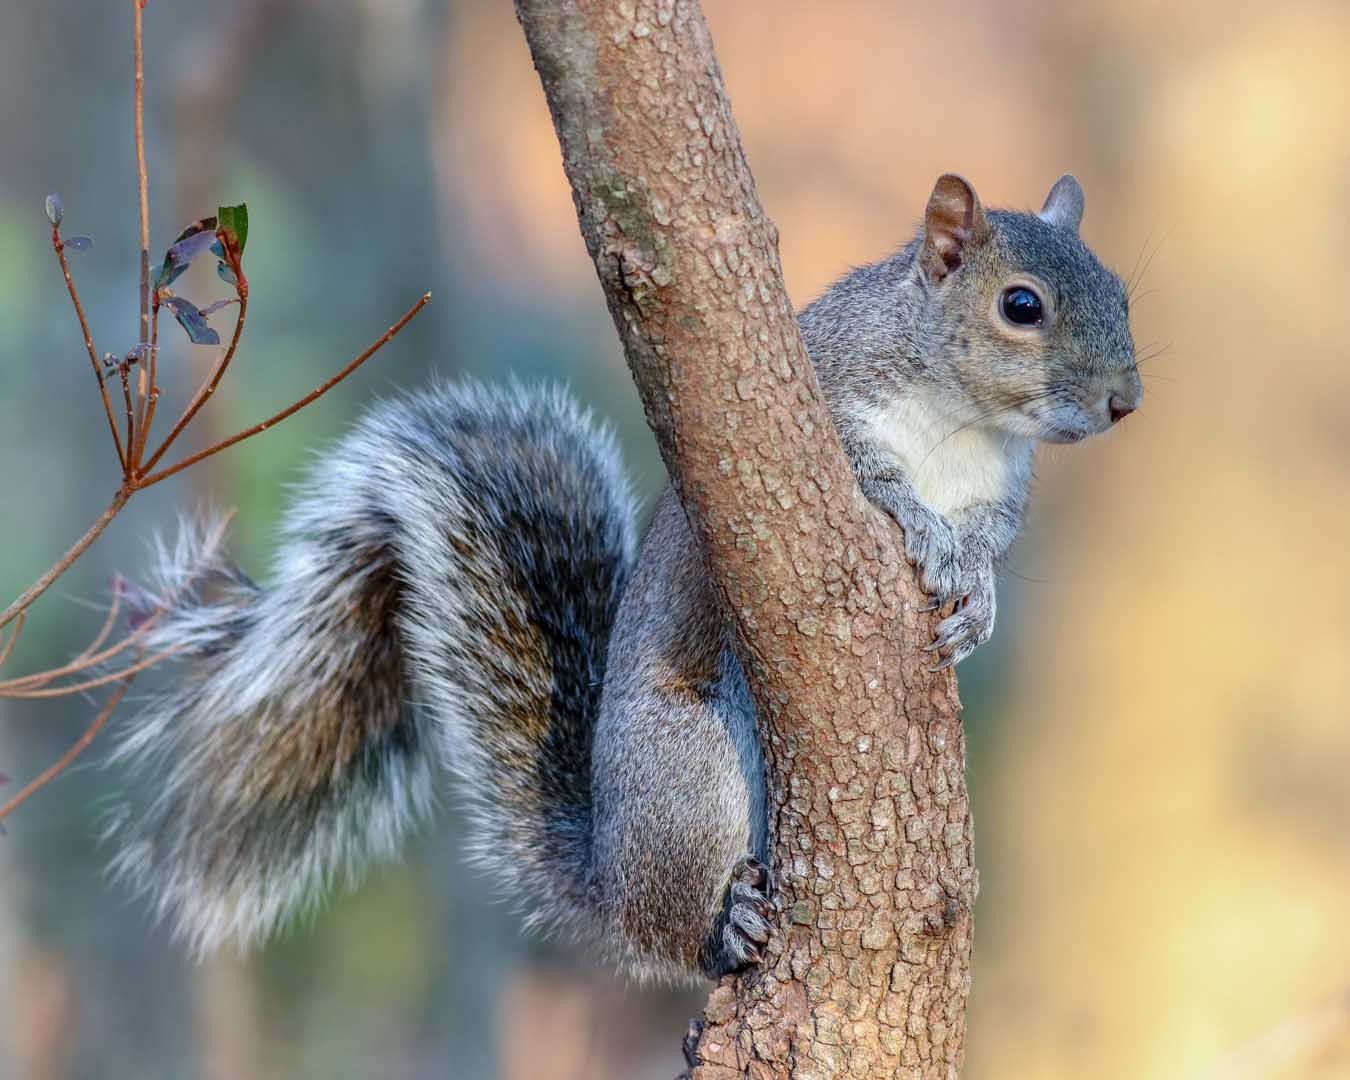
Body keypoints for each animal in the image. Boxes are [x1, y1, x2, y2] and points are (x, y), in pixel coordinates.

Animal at [108, 173, 1140, 982]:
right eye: (1021, 306)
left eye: (1124, 295)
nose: (1124, 404)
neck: (968, 423)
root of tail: (608, 878)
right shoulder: (832, 403)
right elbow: (874, 479)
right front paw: (921, 527)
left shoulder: (1002, 490)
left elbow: (990, 541)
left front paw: (978, 597)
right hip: (687, 777)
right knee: (682, 935)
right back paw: (726, 922)